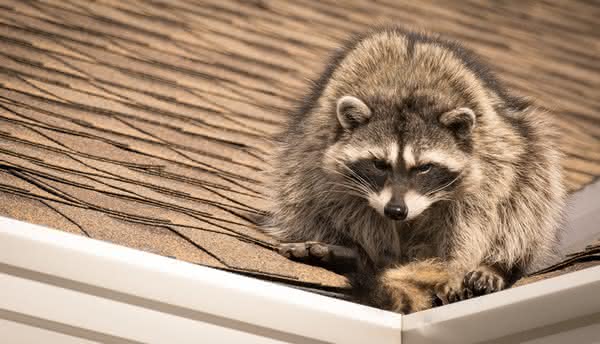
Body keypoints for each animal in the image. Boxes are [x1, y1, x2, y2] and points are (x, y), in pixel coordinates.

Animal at [260, 25, 564, 314]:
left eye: (424, 168)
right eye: (379, 164)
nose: (396, 210)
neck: (406, 92)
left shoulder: (490, 160)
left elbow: (476, 216)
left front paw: (456, 266)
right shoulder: (323, 156)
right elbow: (345, 204)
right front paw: (378, 254)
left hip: (528, 149)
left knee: (528, 196)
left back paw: (495, 264)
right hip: (299, 158)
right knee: (300, 194)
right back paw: (357, 254)